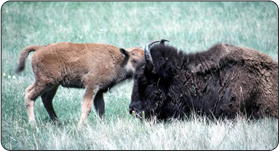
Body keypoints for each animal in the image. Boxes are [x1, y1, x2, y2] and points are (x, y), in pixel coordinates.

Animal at [15, 41, 144, 124]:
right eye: (134, 60)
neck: (119, 59)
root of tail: (40, 48)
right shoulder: (91, 85)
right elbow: (87, 107)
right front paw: (80, 126)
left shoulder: (99, 91)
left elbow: (101, 109)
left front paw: (101, 124)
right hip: (45, 81)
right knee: (29, 96)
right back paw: (33, 124)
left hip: (52, 84)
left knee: (45, 99)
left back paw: (57, 122)